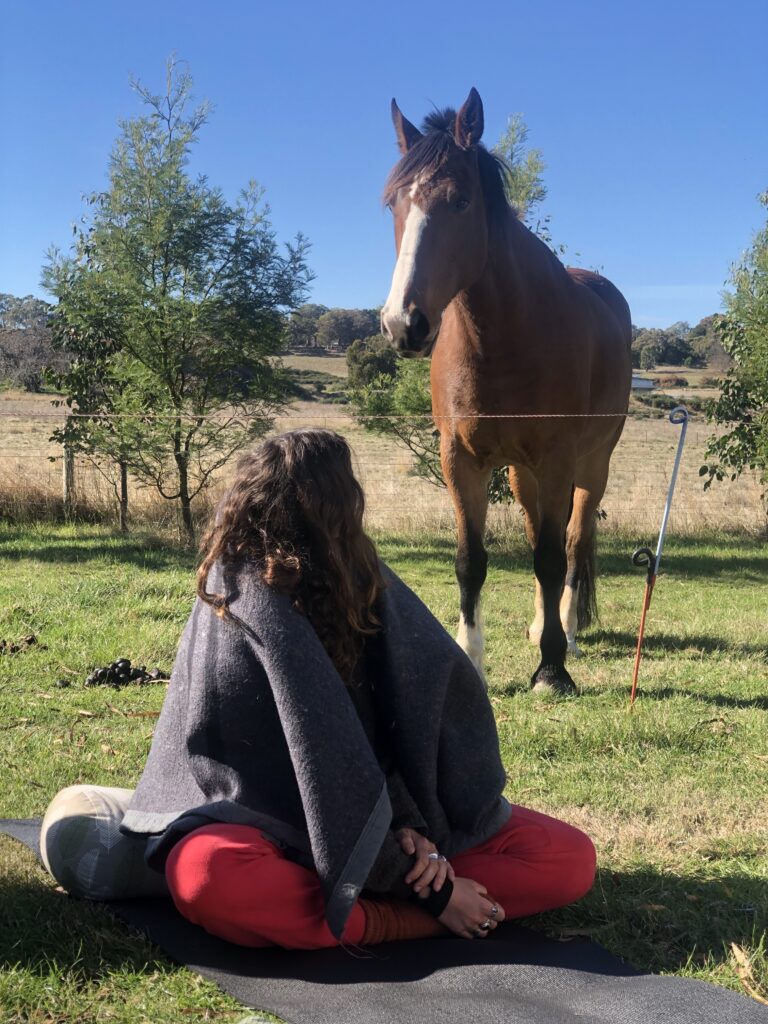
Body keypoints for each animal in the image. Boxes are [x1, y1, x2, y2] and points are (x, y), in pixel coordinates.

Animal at [380, 88, 632, 695]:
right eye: (393, 203)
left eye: (461, 201)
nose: (403, 324)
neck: (503, 339)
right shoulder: (461, 459)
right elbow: (472, 561)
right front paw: (473, 660)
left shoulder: (559, 458)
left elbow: (551, 557)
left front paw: (553, 669)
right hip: (523, 474)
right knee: (540, 534)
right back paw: (542, 625)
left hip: (592, 465)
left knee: (571, 544)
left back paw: (565, 631)